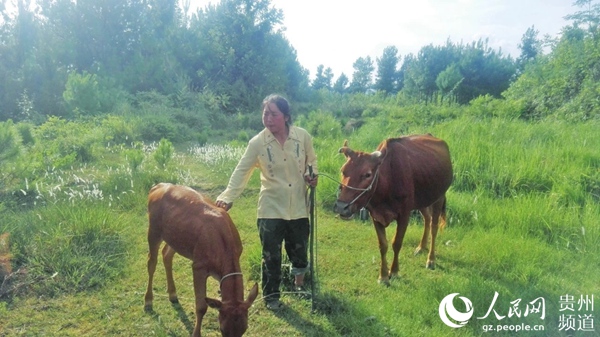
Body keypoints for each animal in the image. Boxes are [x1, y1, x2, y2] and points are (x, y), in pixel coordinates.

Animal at [146, 184, 258, 336]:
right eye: (222, 329)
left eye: (244, 329)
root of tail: (159, 186)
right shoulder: (199, 266)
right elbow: (201, 306)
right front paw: (196, 333)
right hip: (154, 230)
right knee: (151, 262)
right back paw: (148, 301)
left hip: (175, 238)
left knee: (166, 254)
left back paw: (173, 294)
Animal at [332, 134, 450, 284]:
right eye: (343, 170)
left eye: (367, 174)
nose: (342, 207)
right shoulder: (375, 215)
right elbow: (383, 245)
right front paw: (383, 276)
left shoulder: (404, 215)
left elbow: (397, 243)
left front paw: (394, 272)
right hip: (422, 200)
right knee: (427, 219)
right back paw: (421, 247)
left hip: (439, 197)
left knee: (434, 227)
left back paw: (431, 259)